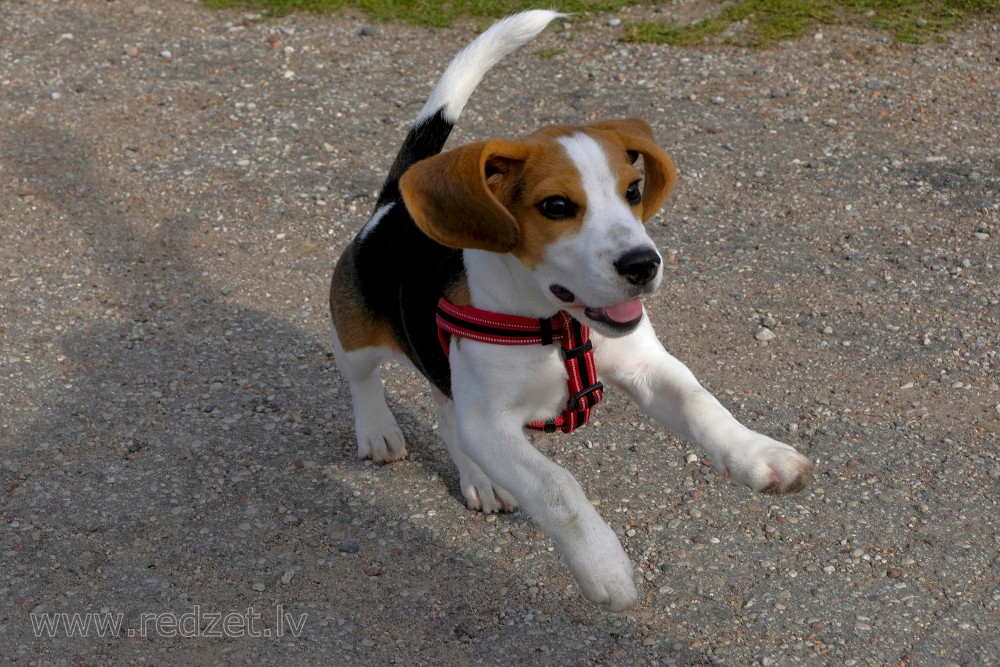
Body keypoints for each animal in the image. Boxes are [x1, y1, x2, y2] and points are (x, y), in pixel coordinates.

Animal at [330, 11, 812, 616]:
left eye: (634, 191)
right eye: (557, 206)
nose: (643, 264)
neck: (558, 325)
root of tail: (394, 203)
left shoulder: (649, 368)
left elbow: (704, 406)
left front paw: (759, 454)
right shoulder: (491, 423)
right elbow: (556, 487)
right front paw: (604, 567)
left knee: (446, 412)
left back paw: (480, 480)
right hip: (357, 334)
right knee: (362, 379)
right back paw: (378, 431)